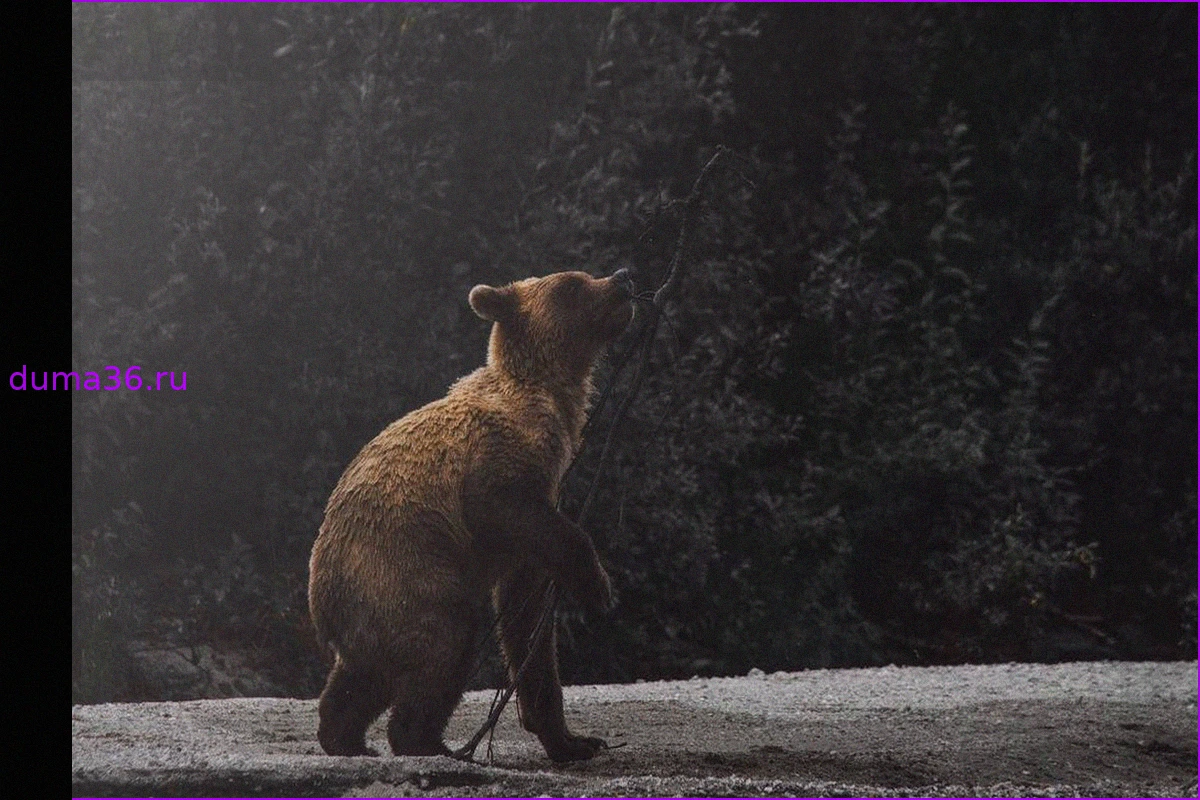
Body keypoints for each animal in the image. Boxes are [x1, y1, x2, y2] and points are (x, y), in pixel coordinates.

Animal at [308, 267, 634, 762]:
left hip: (373, 607)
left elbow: (528, 624)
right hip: (402, 573)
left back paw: (346, 737)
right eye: (572, 284)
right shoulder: (497, 464)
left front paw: (573, 739)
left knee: (363, 675)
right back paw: (425, 741)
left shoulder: (540, 517)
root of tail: (319, 601)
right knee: (445, 643)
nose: (622, 278)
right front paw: (598, 586)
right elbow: (505, 509)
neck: (552, 402)